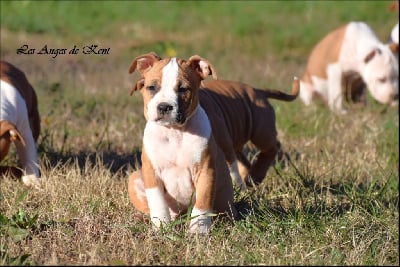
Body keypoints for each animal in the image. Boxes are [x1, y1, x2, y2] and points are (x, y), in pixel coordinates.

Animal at [126, 52, 236, 234]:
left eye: (183, 89)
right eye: (152, 87)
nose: (164, 107)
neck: (174, 132)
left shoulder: (206, 170)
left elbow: (203, 201)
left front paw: (198, 230)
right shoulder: (151, 171)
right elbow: (157, 201)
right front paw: (161, 226)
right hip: (134, 178)